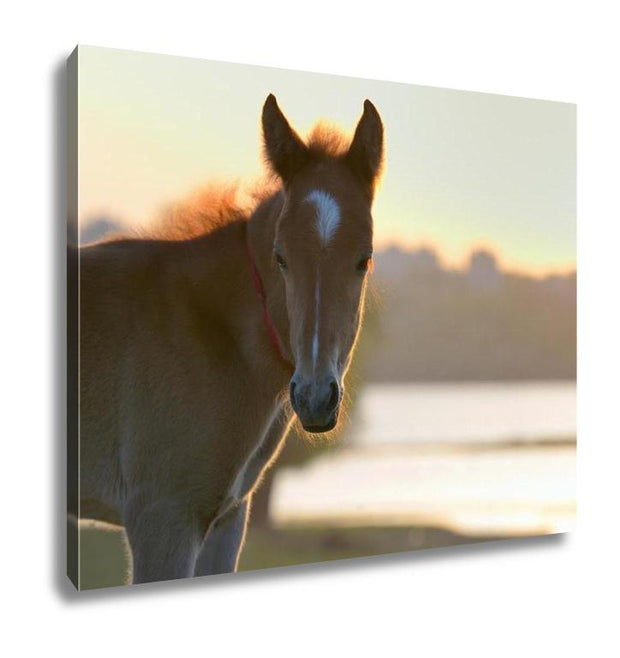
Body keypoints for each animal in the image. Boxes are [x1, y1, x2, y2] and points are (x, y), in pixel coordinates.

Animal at [77, 94, 384, 585]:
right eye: (280, 257)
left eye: (364, 259)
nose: (315, 398)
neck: (212, 333)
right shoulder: (162, 518)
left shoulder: (225, 521)